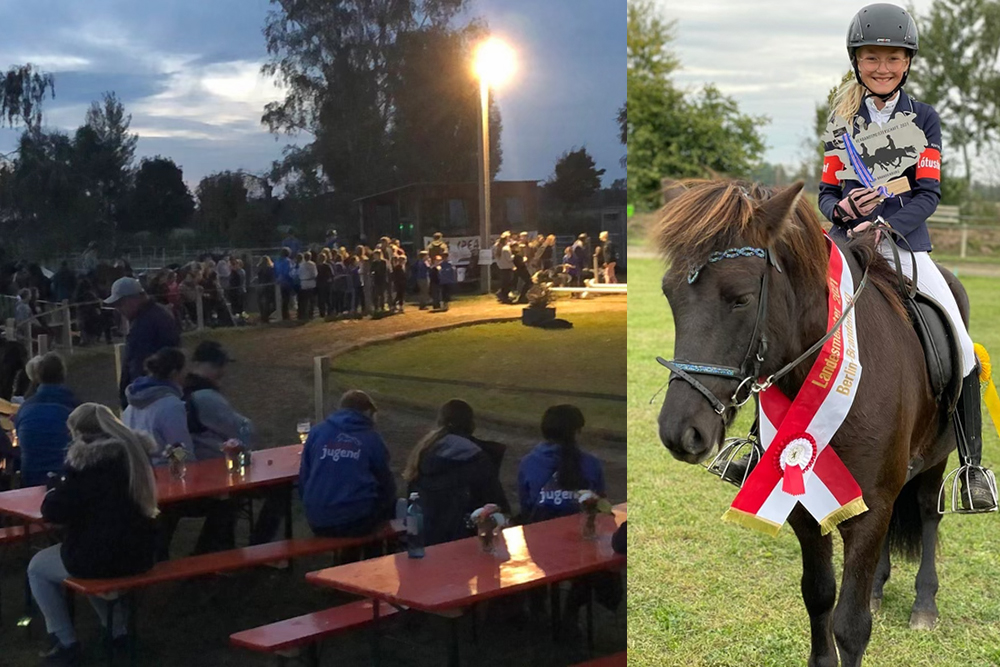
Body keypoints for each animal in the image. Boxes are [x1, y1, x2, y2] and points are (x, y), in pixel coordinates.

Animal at [652, 180, 964, 664]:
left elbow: (851, 626)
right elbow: (818, 596)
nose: (680, 432)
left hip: (935, 459)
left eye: (741, 298)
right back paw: (878, 588)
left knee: (930, 515)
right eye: (670, 295)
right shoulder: (803, 502)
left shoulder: (873, 504)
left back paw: (924, 604)